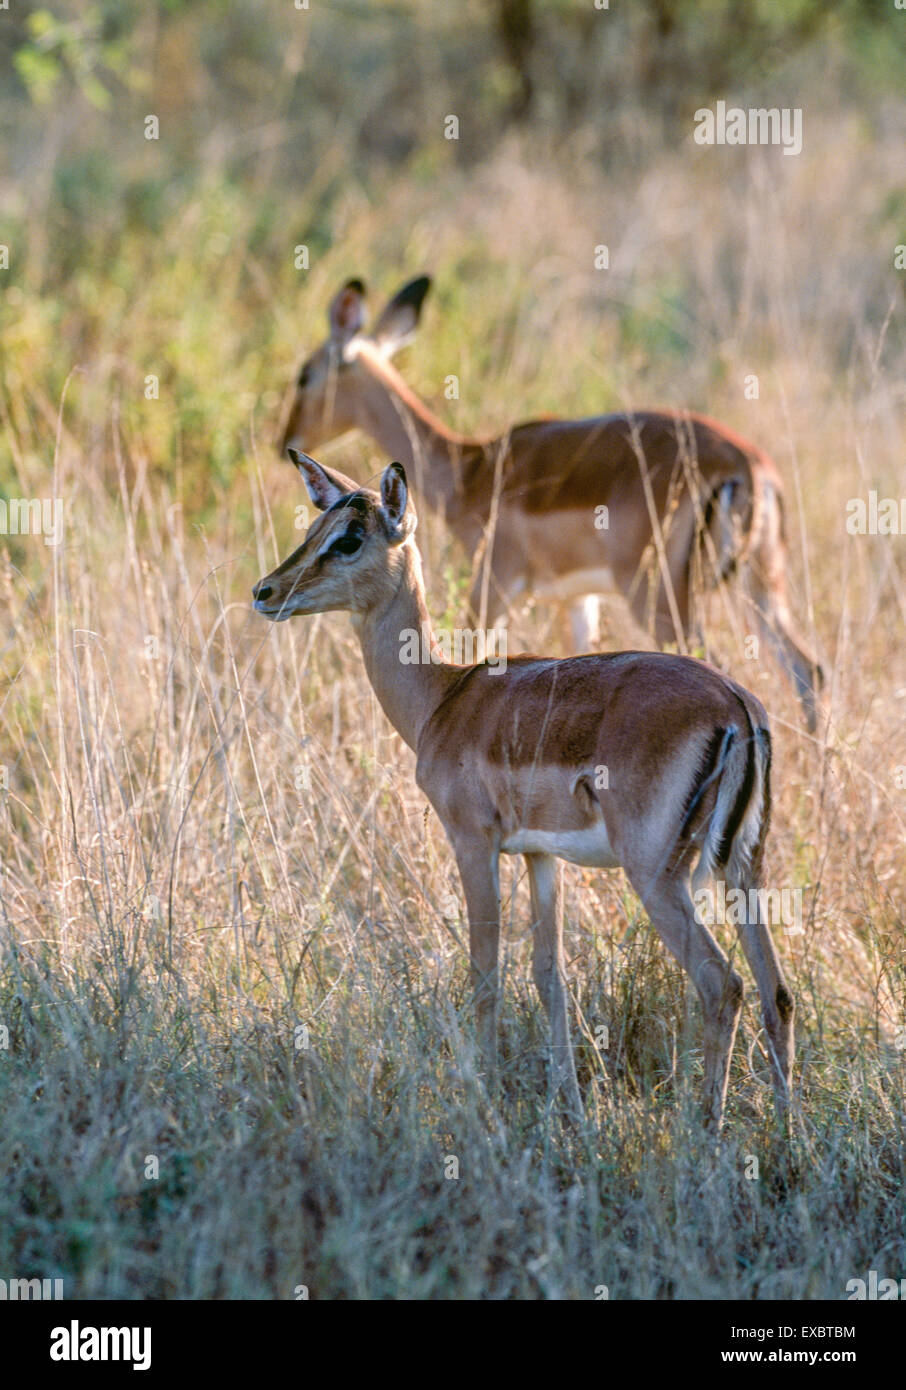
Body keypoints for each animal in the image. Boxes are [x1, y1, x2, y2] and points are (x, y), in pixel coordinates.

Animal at [252, 449, 795, 1131]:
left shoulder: (473, 842)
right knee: (778, 992)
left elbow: (487, 973)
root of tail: (736, 706)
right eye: (314, 529)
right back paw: (787, 1133)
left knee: (723, 984)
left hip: (658, 877)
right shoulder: (541, 857)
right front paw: (573, 1113)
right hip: (744, 868)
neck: (444, 697)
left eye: (348, 539)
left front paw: (483, 1104)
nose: (265, 592)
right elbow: (549, 976)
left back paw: (706, 1134)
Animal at [278, 276, 824, 731]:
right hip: (761, 587)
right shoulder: (576, 600)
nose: (286, 438)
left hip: (658, 595)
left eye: (305, 374)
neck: (468, 468)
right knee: (808, 670)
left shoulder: (494, 584)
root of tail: (748, 465)